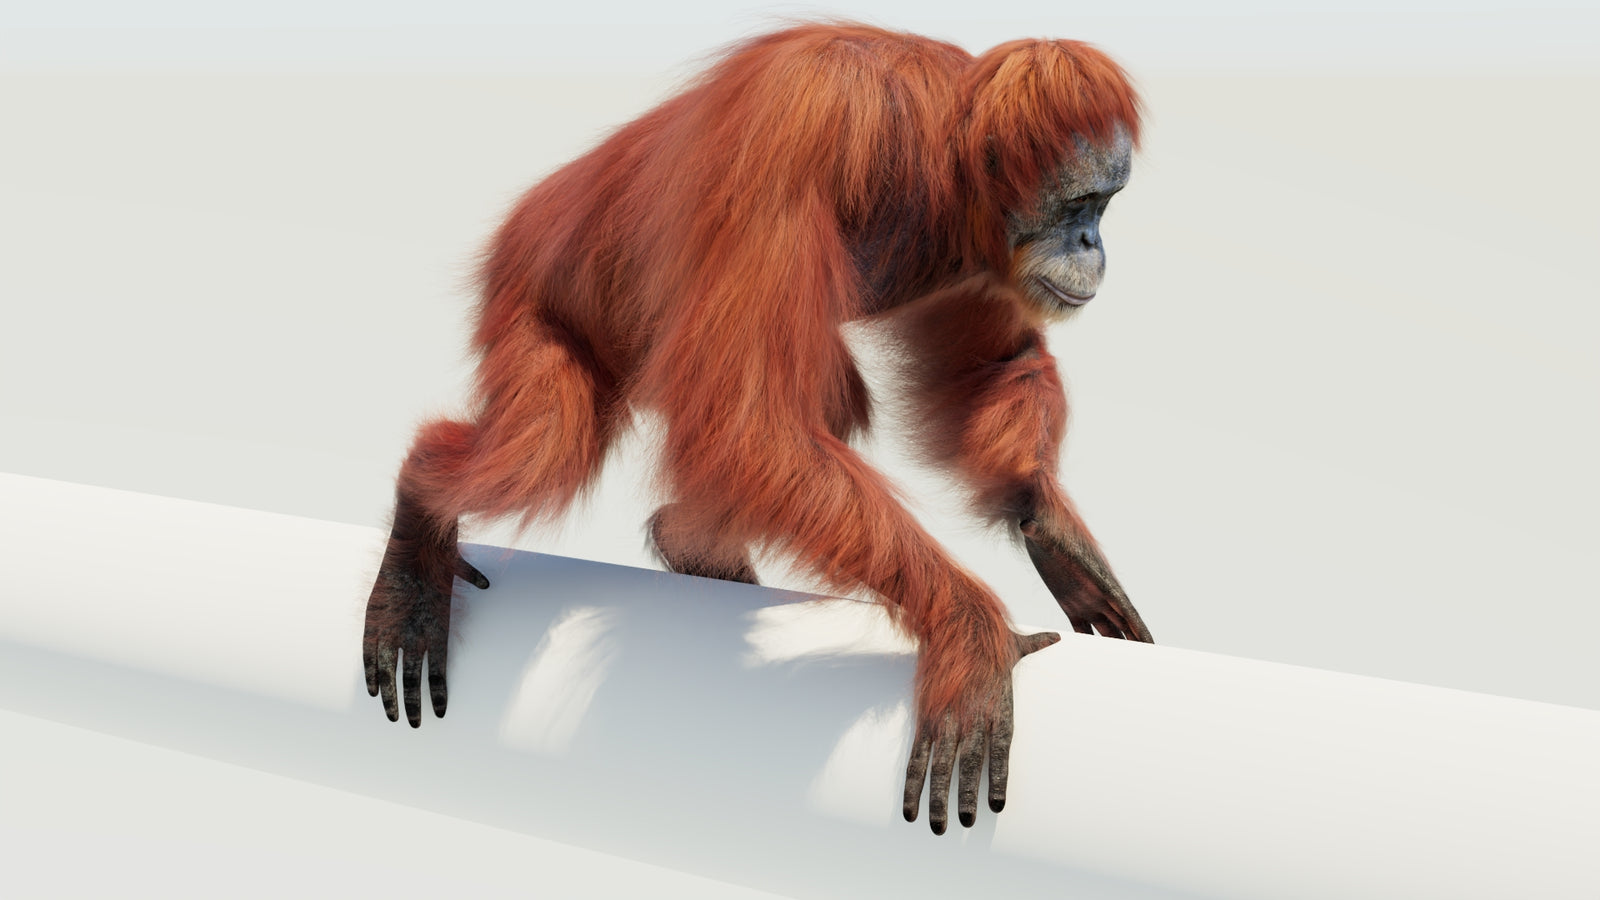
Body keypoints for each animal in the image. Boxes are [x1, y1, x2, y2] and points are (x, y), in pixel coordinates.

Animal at [362, 21, 1152, 836]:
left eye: (1105, 204)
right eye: (1081, 203)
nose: (1093, 244)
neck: (938, 153)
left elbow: (992, 364)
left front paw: (1050, 527)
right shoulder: (803, 125)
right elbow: (748, 423)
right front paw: (966, 631)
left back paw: (690, 540)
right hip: (528, 291)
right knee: (544, 452)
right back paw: (420, 524)